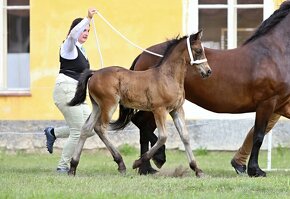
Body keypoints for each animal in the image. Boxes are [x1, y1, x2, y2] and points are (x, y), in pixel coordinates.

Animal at [66, 30, 211, 176]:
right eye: (198, 50)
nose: (208, 71)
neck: (168, 77)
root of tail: (95, 73)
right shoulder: (159, 110)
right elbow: (163, 137)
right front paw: (138, 162)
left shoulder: (177, 109)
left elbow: (185, 136)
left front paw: (197, 169)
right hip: (109, 105)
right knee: (100, 128)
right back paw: (120, 163)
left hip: (97, 106)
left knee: (86, 128)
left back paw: (73, 167)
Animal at [111, 0, 290, 176]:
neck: (273, 53)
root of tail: (143, 54)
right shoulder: (267, 103)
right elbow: (258, 136)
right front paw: (255, 170)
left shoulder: (281, 104)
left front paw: (245, 167)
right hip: (155, 105)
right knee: (141, 123)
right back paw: (155, 160)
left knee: (143, 126)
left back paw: (147, 167)